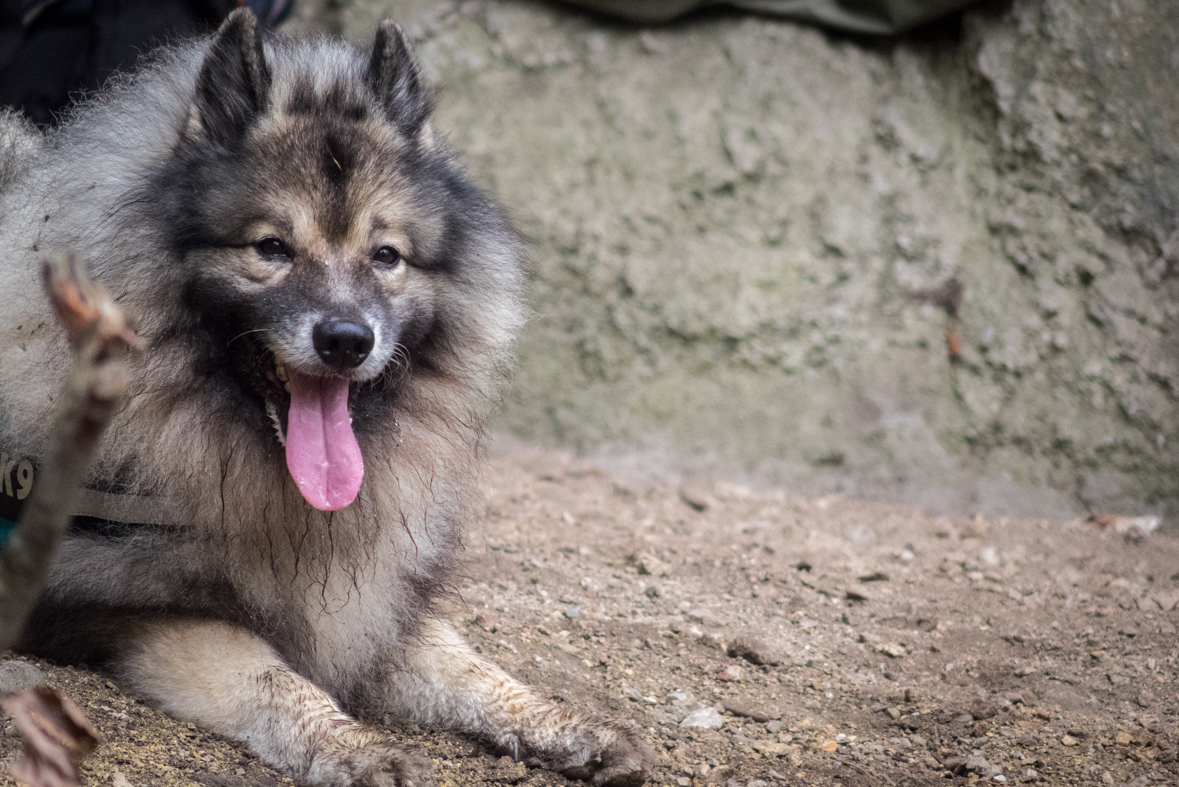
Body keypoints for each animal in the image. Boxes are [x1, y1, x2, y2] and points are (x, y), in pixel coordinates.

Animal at [0, 10, 646, 787]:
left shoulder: (371, 602)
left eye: (386, 255)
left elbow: (468, 665)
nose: (346, 339)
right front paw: (354, 747)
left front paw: (563, 724)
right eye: (271, 248)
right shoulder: (138, 609)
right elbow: (275, 680)